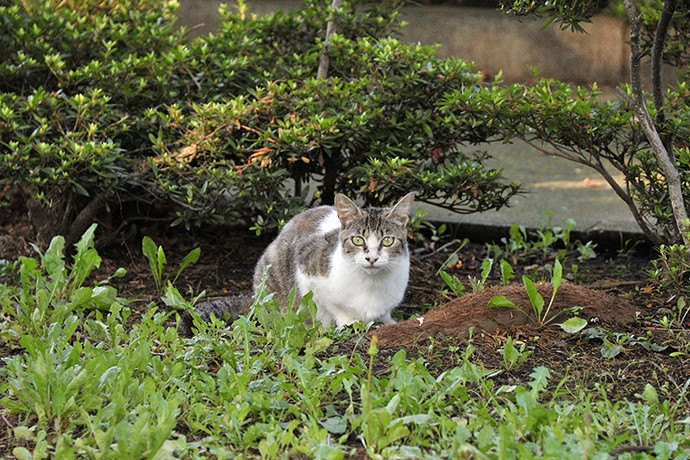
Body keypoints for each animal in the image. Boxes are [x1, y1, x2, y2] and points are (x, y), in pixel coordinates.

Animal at [179, 190, 414, 334]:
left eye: (387, 240)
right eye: (358, 240)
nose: (371, 258)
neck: (371, 283)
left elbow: (384, 313)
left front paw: (388, 322)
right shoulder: (307, 268)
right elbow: (334, 306)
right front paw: (350, 323)